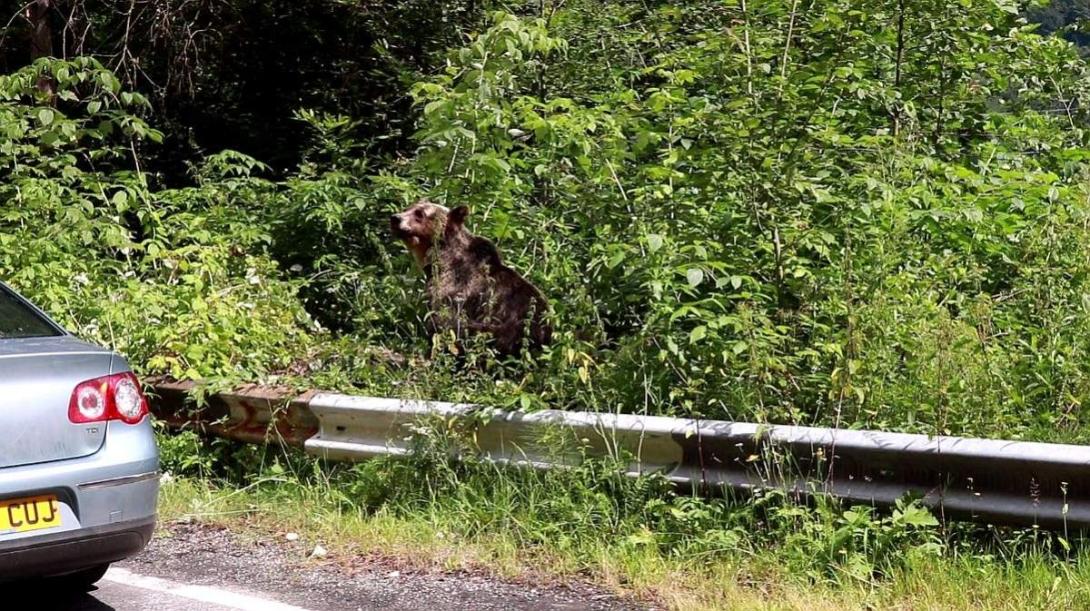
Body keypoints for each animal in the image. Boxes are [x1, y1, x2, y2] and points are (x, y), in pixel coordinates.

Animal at [390, 198, 553, 355]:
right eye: (407, 208)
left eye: (420, 214)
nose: (395, 218)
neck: (442, 257)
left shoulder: (456, 286)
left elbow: (443, 321)